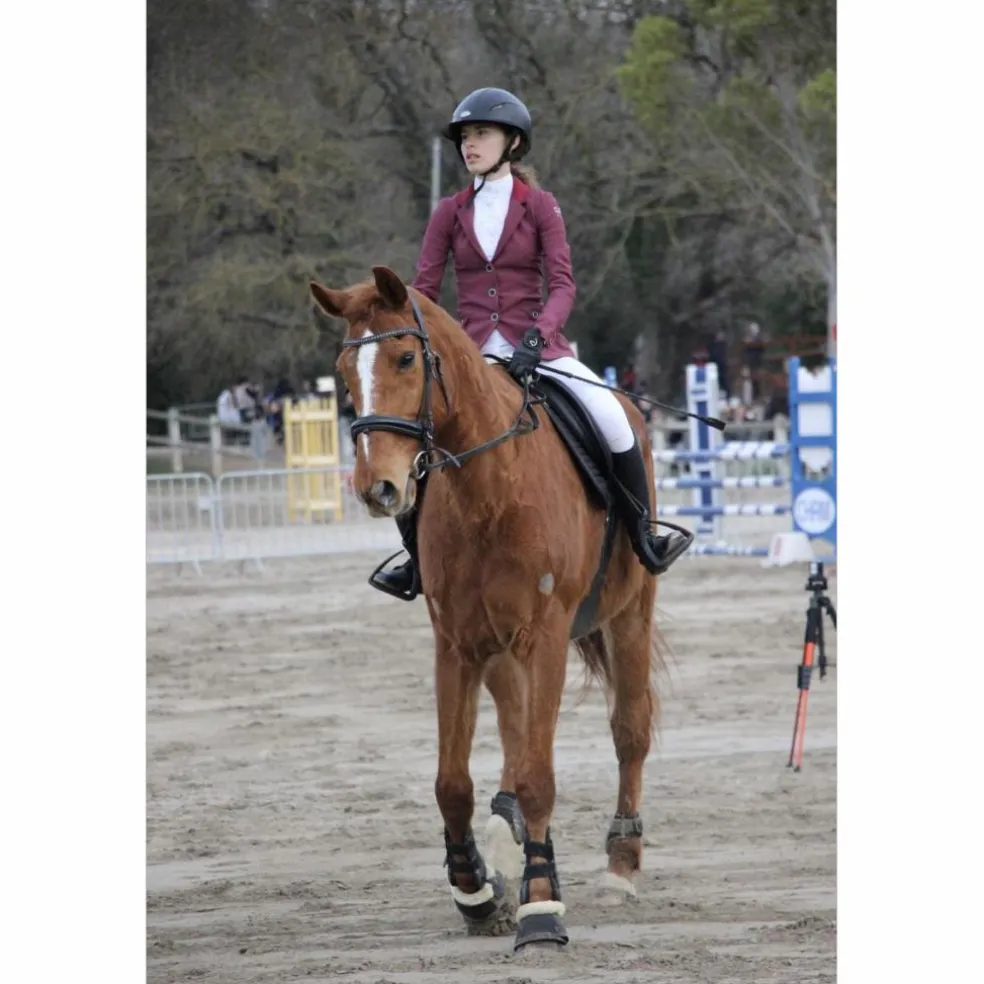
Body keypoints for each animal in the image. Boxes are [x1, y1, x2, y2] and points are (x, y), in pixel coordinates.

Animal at [310, 265, 667, 951]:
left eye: (404, 358)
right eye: (343, 373)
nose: (377, 488)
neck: (488, 488)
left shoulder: (546, 637)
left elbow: (539, 778)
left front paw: (541, 906)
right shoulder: (456, 644)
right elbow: (453, 783)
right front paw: (475, 890)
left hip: (629, 613)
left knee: (628, 732)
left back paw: (620, 866)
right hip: (502, 651)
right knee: (514, 732)